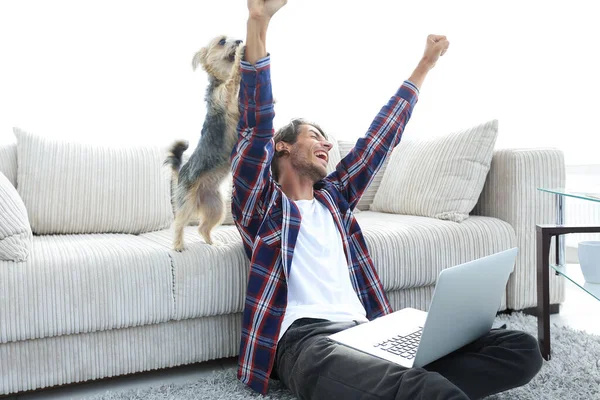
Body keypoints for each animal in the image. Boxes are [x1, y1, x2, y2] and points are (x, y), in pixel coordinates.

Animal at [164, 36, 244, 250]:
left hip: (216, 206)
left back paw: (213, 244)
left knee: (203, 228)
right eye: (222, 41)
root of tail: (181, 173)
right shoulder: (225, 94)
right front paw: (240, 56)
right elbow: (234, 80)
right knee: (178, 223)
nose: (239, 40)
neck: (219, 80)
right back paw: (178, 245)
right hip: (188, 203)